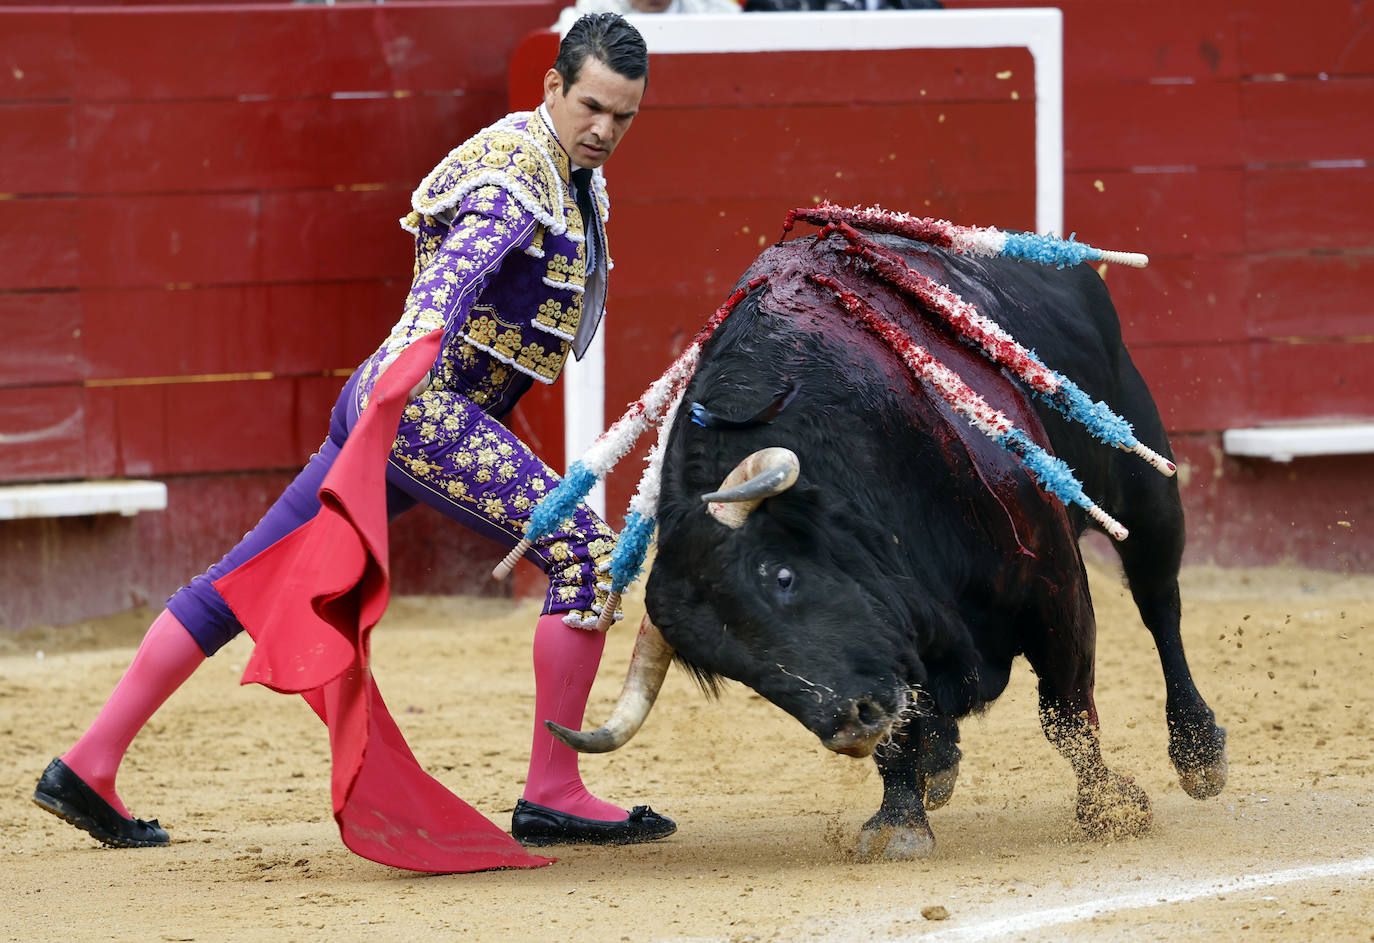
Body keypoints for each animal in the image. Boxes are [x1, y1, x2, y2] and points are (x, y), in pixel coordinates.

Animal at [546, 210, 1225, 863]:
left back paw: (1199, 753)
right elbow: (902, 732)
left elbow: (1065, 709)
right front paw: (901, 819)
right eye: (730, 666)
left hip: (1145, 482)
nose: (850, 725)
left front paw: (1111, 808)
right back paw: (941, 764)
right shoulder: (889, 645)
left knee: (1158, 602)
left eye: (783, 576)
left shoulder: (1051, 582)